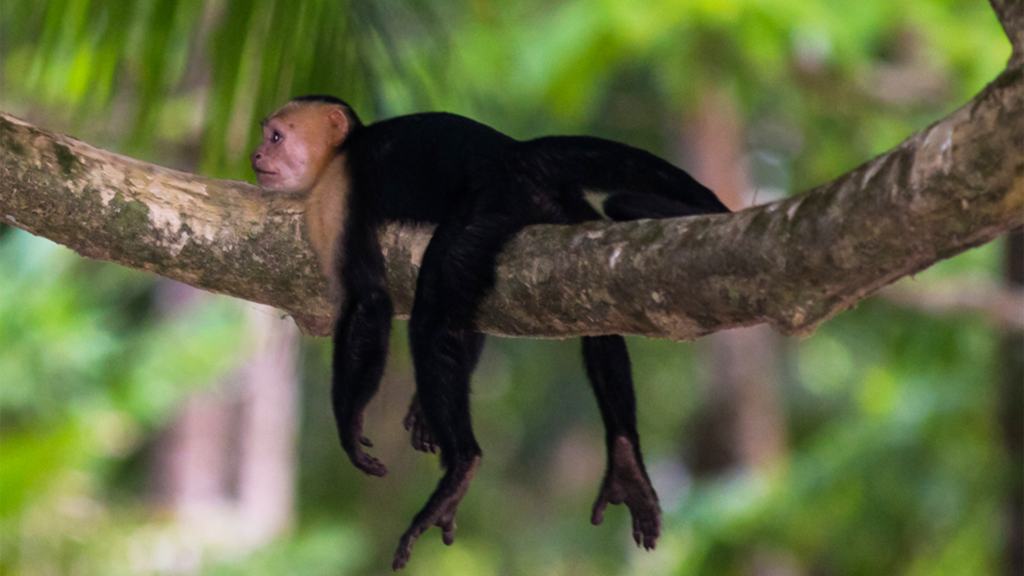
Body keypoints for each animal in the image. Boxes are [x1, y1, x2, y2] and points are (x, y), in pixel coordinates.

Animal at [250, 95, 729, 569]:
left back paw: (462, 464)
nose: (255, 156)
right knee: (594, 312)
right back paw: (626, 454)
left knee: (433, 309)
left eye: (276, 137)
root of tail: (513, 152)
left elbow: (370, 300)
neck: (343, 152)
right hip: (554, 208)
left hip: (495, 198)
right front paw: (422, 410)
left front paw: (350, 424)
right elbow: (468, 319)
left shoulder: (335, 194)